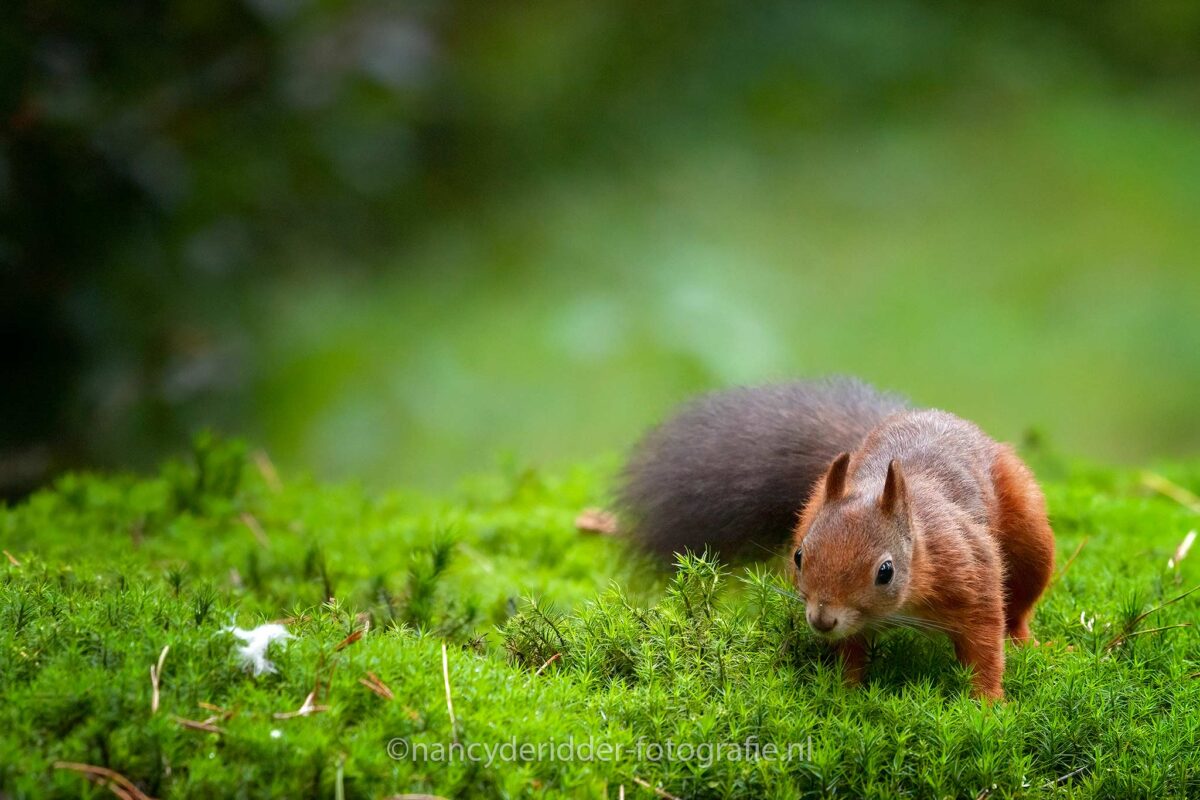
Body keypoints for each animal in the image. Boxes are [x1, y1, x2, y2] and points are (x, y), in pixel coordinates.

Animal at [617, 377, 1056, 700]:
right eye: (798, 556)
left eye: (885, 571)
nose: (822, 619)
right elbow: (852, 650)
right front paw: (846, 692)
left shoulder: (969, 569)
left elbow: (985, 643)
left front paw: (988, 704)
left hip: (1030, 535)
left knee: (1019, 605)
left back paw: (1027, 642)